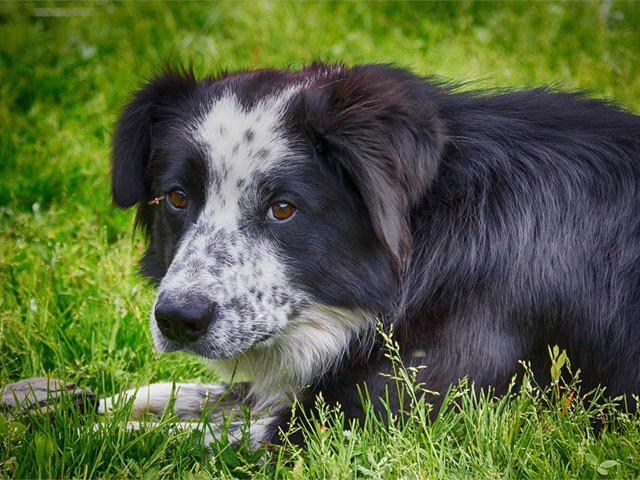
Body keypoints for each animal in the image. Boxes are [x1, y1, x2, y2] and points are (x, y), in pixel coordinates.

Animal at [105, 62, 640, 446]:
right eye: (177, 197)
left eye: (283, 208)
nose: (178, 320)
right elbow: (174, 395)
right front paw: (95, 403)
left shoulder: (375, 416)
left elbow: (172, 437)